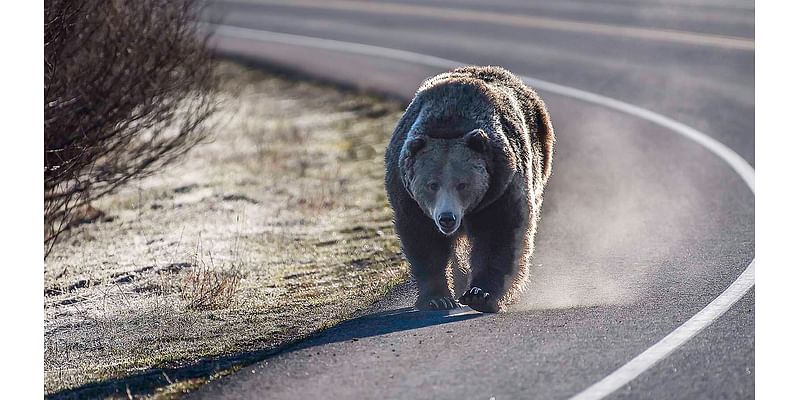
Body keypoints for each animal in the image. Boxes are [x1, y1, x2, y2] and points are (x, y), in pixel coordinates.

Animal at [384, 65, 552, 312]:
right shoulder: (408, 197)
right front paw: (437, 298)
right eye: (432, 184)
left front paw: (480, 294)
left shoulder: (501, 188)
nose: (447, 218)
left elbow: (500, 235)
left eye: (462, 184)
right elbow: (423, 242)